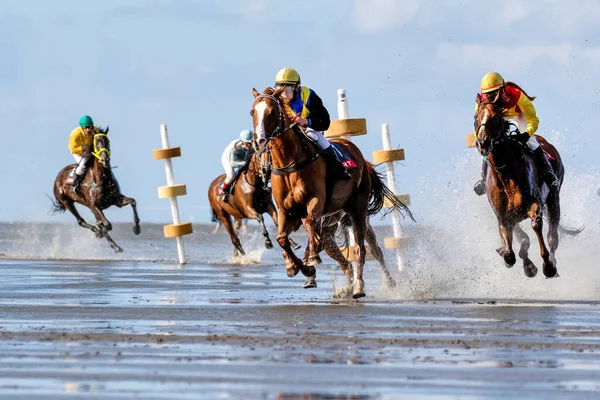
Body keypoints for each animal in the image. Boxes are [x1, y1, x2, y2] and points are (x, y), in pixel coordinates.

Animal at [250, 88, 412, 300]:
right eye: (252, 112)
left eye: (270, 111)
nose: (259, 141)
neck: (290, 163)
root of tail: (361, 158)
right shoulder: (287, 212)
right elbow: (282, 239)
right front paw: (298, 267)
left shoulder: (316, 201)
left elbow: (310, 223)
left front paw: (311, 259)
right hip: (333, 226)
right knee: (343, 260)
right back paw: (344, 286)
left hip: (358, 212)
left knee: (365, 250)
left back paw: (365, 287)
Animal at [474, 94, 564, 278]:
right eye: (475, 117)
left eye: (495, 117)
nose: (483, 143)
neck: (505, 173)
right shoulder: (504, 217)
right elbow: (510, 254)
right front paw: (525, 264)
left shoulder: (533, 205)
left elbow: (536, 225)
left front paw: (547, 265)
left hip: (553, 198)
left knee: (552, 237)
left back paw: (552, 264)